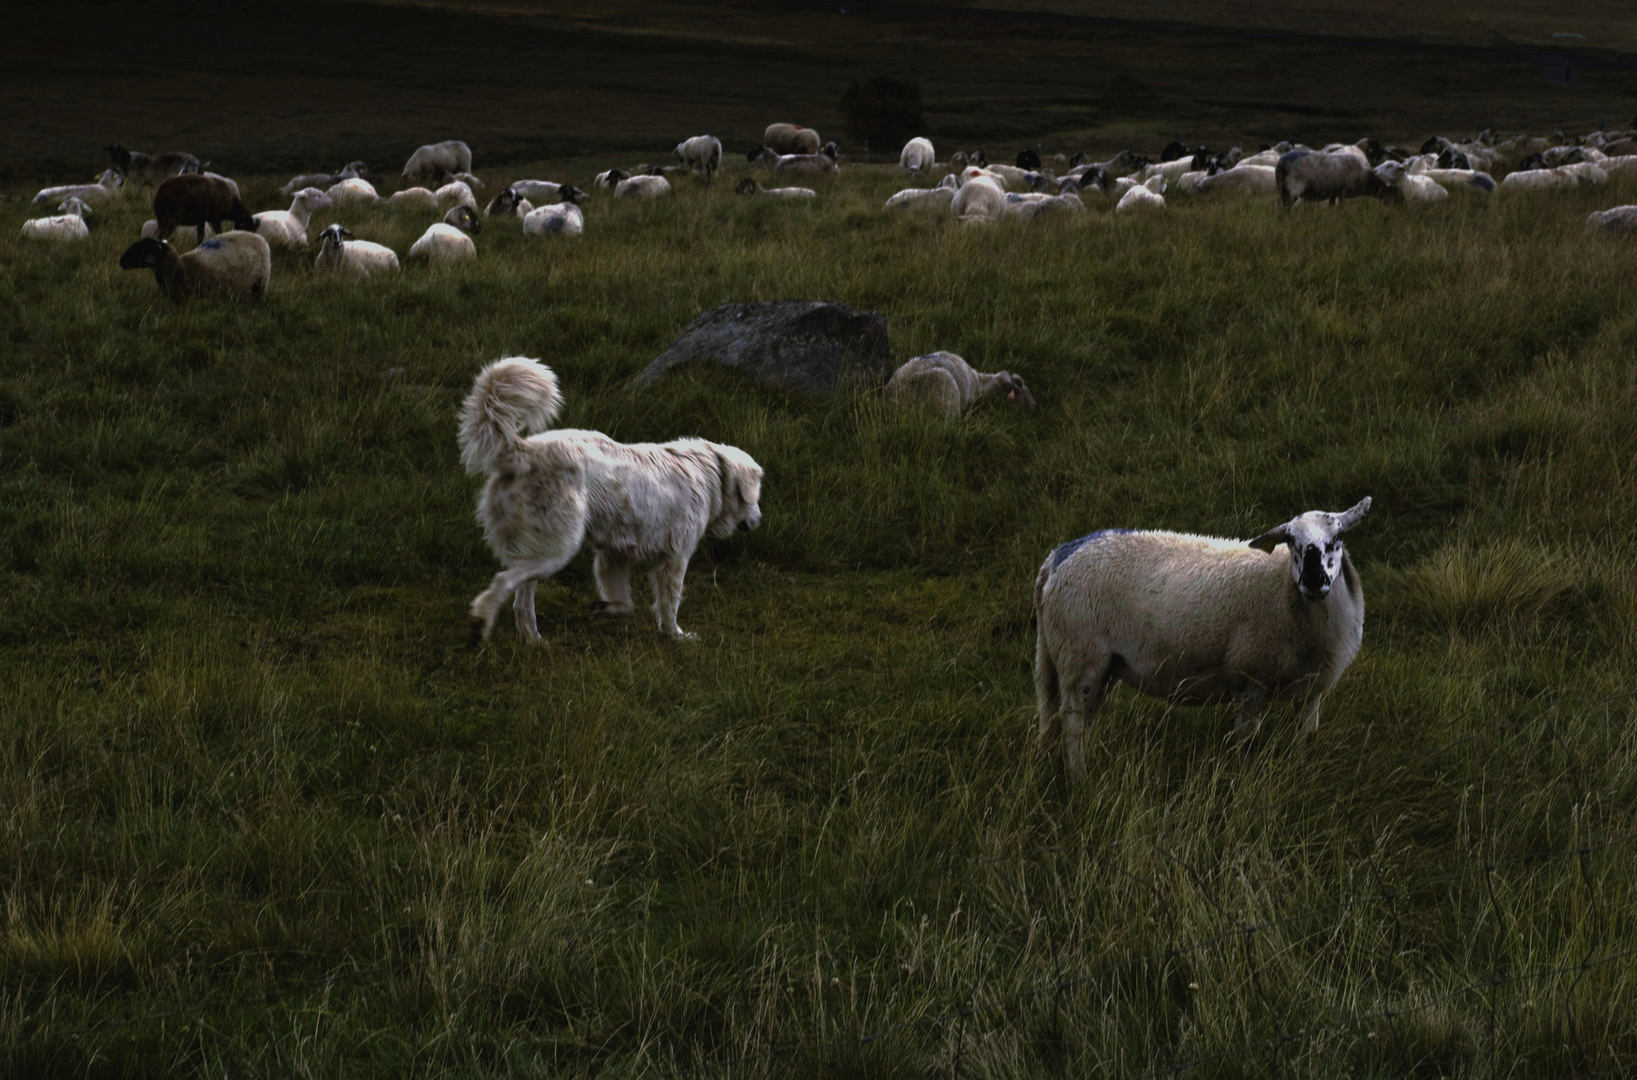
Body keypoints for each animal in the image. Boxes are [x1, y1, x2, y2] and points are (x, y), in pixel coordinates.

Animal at [458, 356, 762, 641]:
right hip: (557, 547)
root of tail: (522, 450)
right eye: (756, 496)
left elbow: (624, 604)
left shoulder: (613, 555)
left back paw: (533, 640)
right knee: (503, 581)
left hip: (539, 547)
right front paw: (676, 635)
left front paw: (604, 608)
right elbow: (670, 603)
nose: (759, 520)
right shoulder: (675, 557)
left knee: (521, 599)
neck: (711, 472)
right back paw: (480, 623)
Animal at [1034, 497, 1368, 785]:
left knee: (1080, 719)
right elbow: (1247, 746)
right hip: (1080, 655)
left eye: (1338, 538)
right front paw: (1243, 788)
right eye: (1290, 541)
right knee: (1072, 720)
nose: (1312, 580)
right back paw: (1079, 781)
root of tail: (1058, 556)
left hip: (1102, 665)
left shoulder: (1312, 690)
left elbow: (1306, 741)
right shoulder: (1249, 679)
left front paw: (1301, 777)